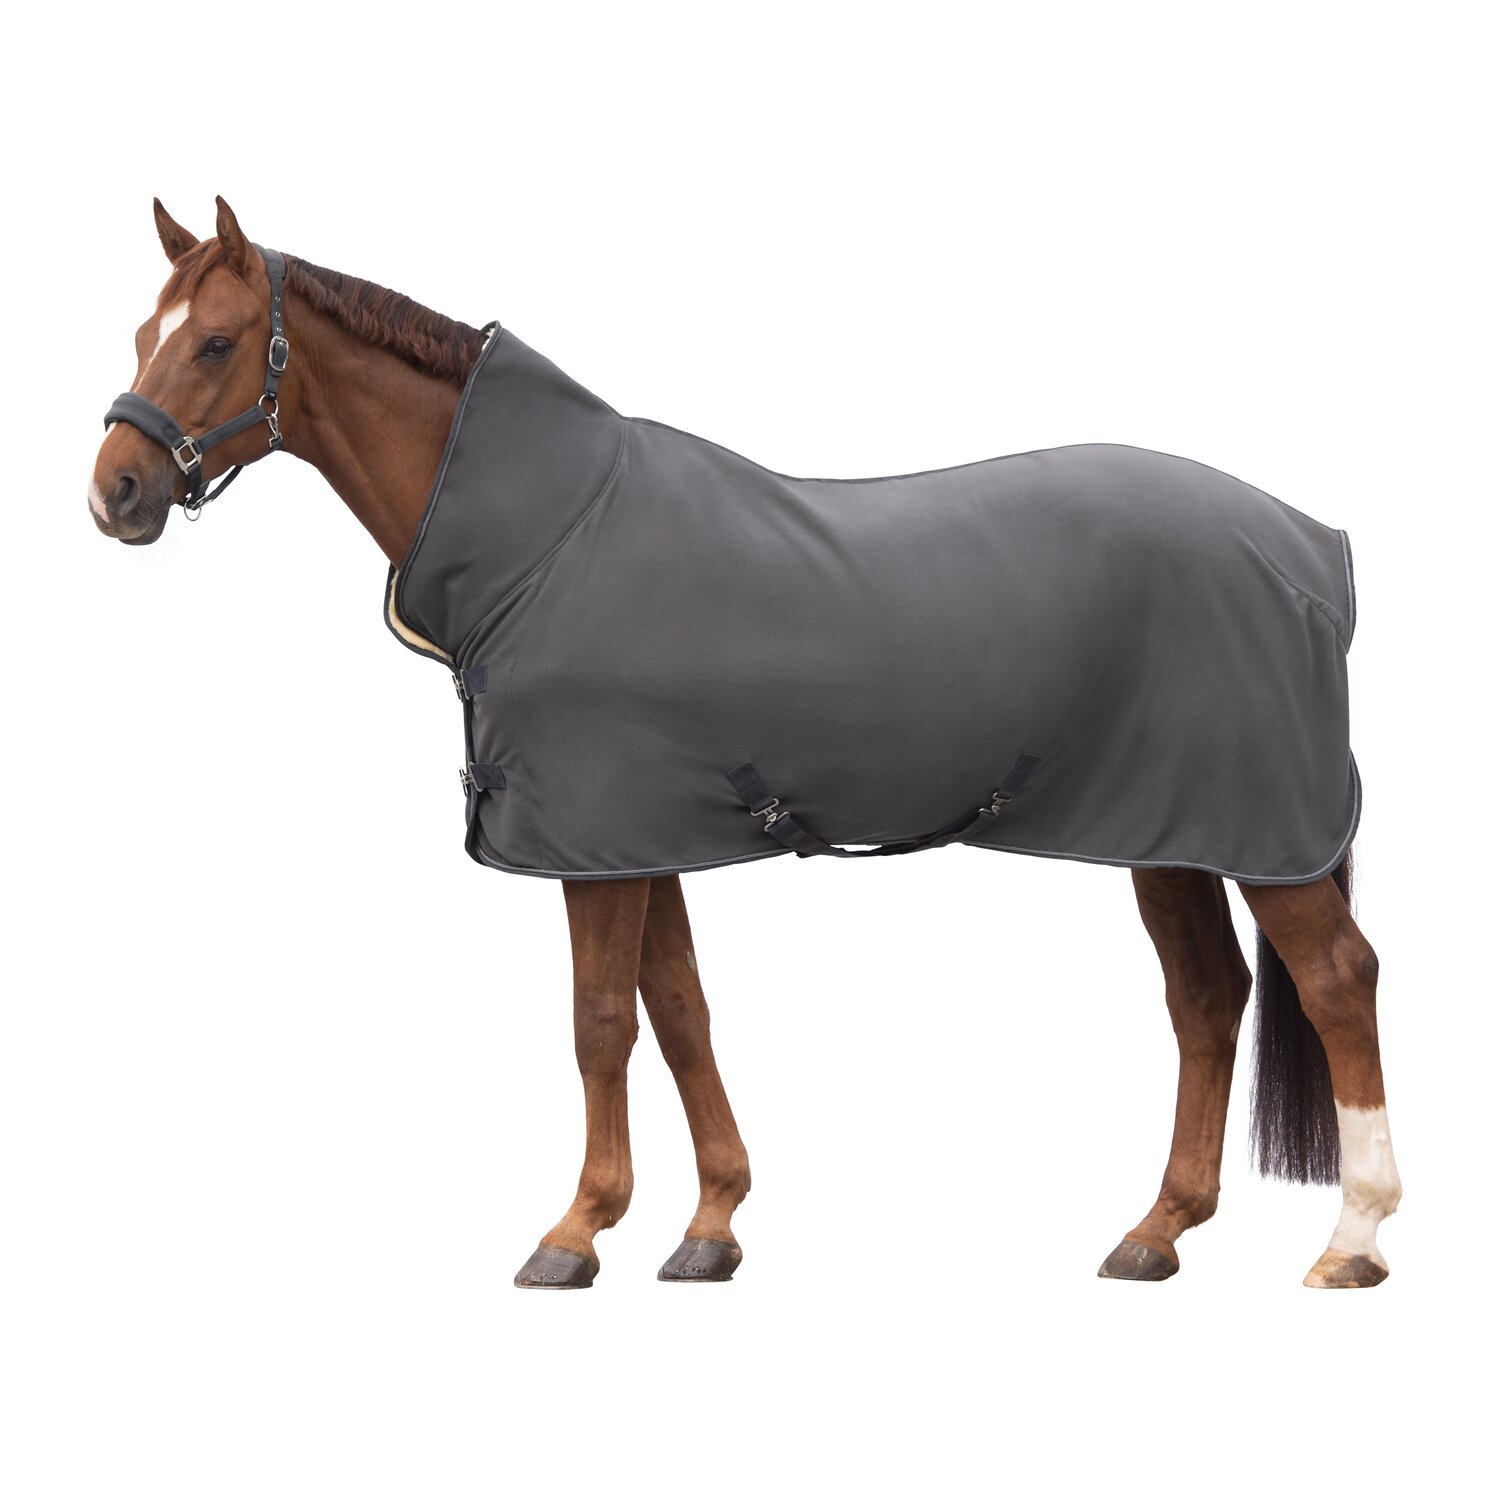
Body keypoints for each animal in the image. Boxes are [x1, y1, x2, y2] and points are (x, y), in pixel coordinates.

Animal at [88, 197, 1401, 1290]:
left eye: (216, 343)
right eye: (144, 332)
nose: (114, 492)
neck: (551, 538)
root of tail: (1311, 553)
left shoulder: (593, 842)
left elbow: (599, 1022)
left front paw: (576, 1233)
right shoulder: (640, 835)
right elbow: (677, 1010)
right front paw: (710, 1223)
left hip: (1257, 834)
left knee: (1337, 980)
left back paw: (1354, 1238)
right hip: (1167, 830)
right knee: (1207, 997)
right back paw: (1156, 1231)